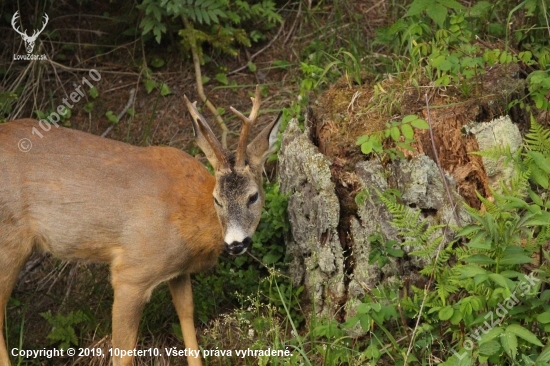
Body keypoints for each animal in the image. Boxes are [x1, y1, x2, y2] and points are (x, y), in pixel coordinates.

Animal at [0, 86, 282, 366]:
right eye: (217, 200)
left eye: (253, 196)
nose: (235, 243)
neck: (188, 213)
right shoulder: (131, 273)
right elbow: (123, 353)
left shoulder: (178, 271)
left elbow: (186, 316)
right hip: (9, 243)